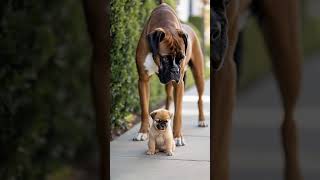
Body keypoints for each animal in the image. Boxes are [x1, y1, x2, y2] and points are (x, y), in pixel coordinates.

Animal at [132, 0, 205, 146]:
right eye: (165, 58)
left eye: (181, 58)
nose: (175, 70)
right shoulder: (143, 80)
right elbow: (144, 108)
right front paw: (143, 132)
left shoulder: (179, 84)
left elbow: (178, 113)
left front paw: (177, 136)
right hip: (168, 84)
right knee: (169, 97)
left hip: (198, 75)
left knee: (199, 98)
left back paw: (202, 120)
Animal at [212, 0, 302, 180]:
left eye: (224, 1)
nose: (213, 30)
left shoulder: (223, 73)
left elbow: (218, 157)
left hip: (286, 49)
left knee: (288, 123)